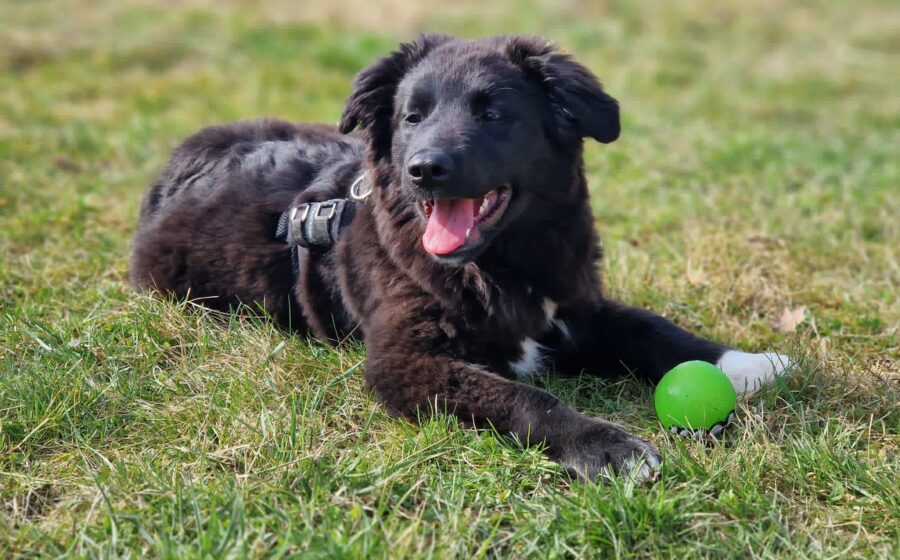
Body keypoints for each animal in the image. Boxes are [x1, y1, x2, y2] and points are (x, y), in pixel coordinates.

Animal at [131, 34, 792, 480]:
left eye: (494, 113)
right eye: (411, 116)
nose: (424, 169)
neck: (500, 265)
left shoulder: (574, 305)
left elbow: (651, 329)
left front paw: (748, 363)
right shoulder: (405, 360)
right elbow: (526, 397)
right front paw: (607, 446)